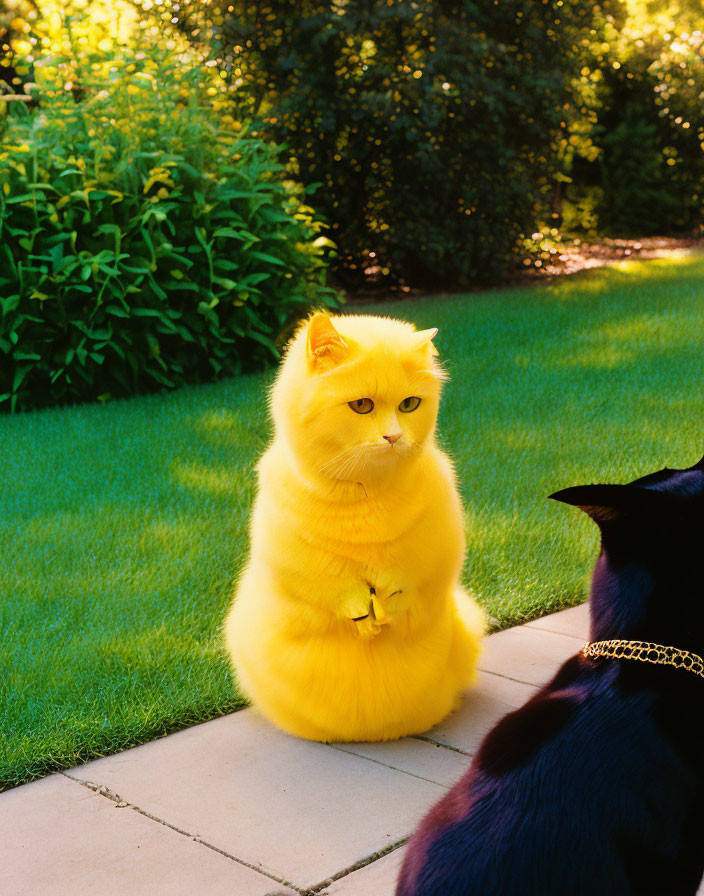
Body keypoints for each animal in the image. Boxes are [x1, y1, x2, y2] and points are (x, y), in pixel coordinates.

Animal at [226, 312, 484, 740]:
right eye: (361, 406)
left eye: (410, 404)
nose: (395, 436)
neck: (365, 490)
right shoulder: (293, 563)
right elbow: (335, 592)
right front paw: (364, 617)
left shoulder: (436, 554)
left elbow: (406, 585)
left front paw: (387, 606)